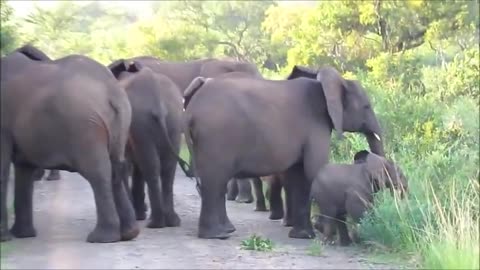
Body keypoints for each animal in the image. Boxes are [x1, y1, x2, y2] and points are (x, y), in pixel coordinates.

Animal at [0, 44, 139, 243]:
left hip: (84, 125)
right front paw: (22, 235)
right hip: (121, 122)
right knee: (117, 167)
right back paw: (129, 233)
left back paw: (101, 237)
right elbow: (24, 170)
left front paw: (6, 238)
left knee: (98, 172)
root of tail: (112, 91)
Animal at [109, 58, 191, 228]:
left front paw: (138, 215)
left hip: (140, 120)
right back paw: (172, 221)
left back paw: (156, 222)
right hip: (174, 118)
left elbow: (127, 164)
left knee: (151, 167)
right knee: (167, 168)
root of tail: (156, 98)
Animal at [182, 65, 384, 238]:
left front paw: (301, 234)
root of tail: (192, 109)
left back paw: (223, 231)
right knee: (215, 181)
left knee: (213, 183)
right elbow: (312, 170)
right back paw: (218, 235)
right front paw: (311, 234)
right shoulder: (315, 127)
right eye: (366, 107)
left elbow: (298, 174)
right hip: (215, 137)